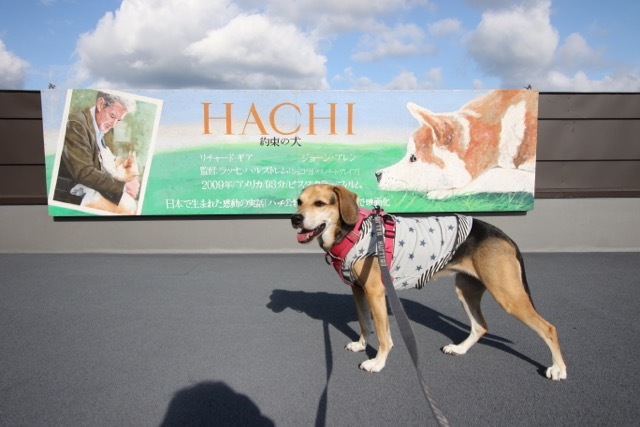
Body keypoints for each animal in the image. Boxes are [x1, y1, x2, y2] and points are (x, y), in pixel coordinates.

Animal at [292, 184, 568, 382]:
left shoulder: (375, 292)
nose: (295, 219)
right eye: (299, 201)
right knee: (480, 327)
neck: (352, 231)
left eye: (320, 203)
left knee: (549, 328)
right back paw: (459, 349)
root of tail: (504, 236)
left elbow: (383, 335)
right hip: (466, 290)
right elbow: (364, 323)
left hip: (508, 295)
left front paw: (377, 362)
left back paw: (558, 369)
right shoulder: (358, 290)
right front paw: (361, 345)